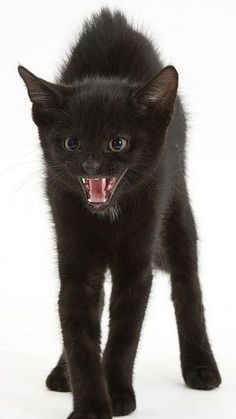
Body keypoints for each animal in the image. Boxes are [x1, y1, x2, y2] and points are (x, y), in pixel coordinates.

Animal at [18, 6, 221, 419]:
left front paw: (117, 395)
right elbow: (78, 331)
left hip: (176, 205)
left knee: (187, 284)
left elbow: (125, 332)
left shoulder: (137, 262)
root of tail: (113, 19)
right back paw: (61, 372)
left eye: (118, 143)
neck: (106, 217)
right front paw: (91, 405)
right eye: (72, 142)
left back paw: (201, 365)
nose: (92, 165)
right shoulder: (75, 260)